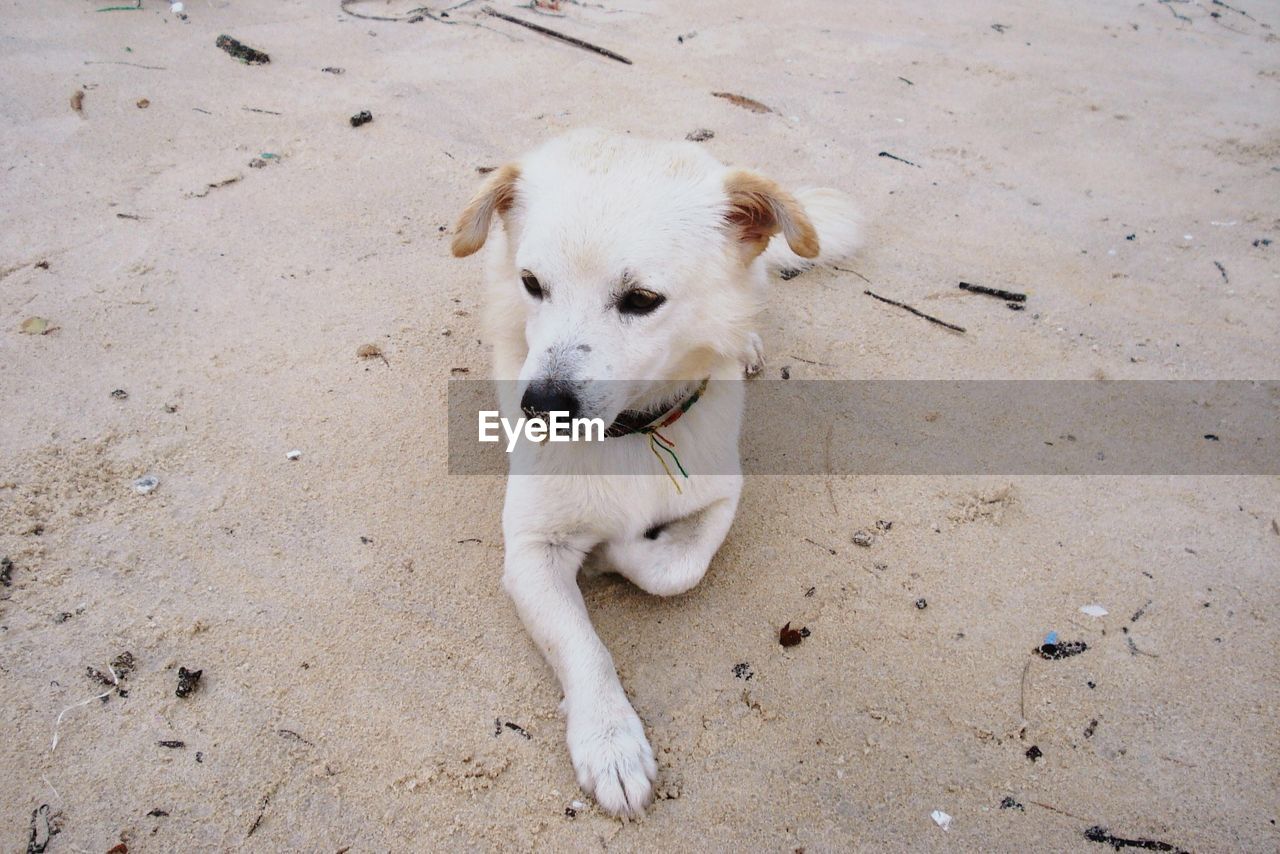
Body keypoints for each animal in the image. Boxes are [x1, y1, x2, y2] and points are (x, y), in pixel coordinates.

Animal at [450, 130, 860, 819]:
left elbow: (675, 568)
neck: (629, 433)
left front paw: (616, 552)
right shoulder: (531, 550)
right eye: (533, 282)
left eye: (641, 300)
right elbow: (582, 647)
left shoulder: (722, 495)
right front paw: (610, 743)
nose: (541, 406)